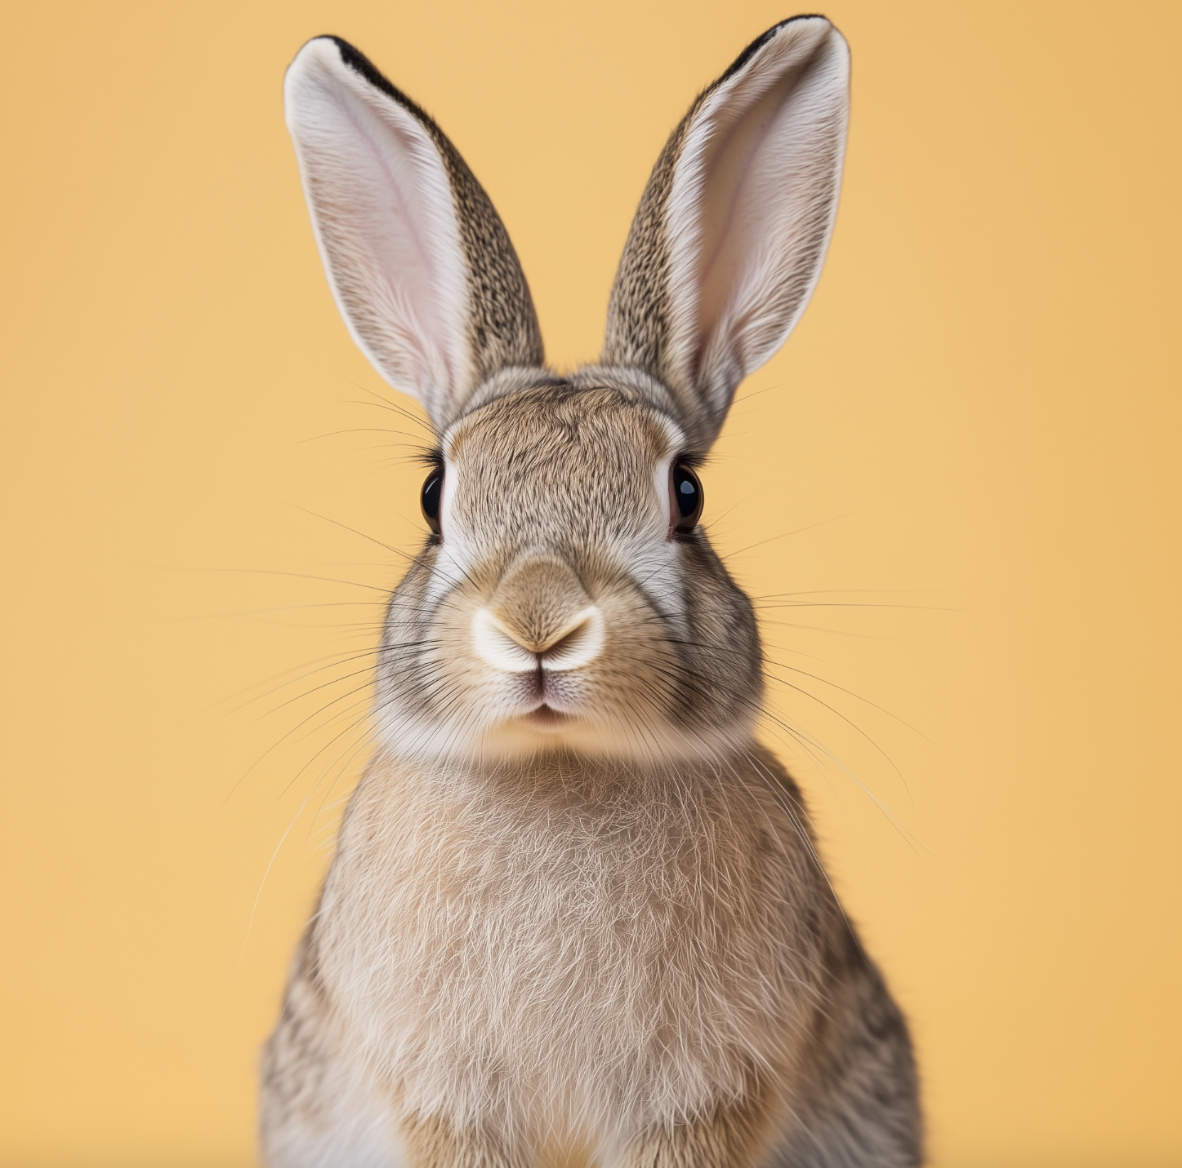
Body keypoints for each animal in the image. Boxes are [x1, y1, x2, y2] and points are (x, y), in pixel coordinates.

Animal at [262, 15, 922, 1168]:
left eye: (687, 493)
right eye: (434, 494)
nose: (539, 624)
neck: (560, 773)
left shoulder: (701, 1099)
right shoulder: (447, 1100)